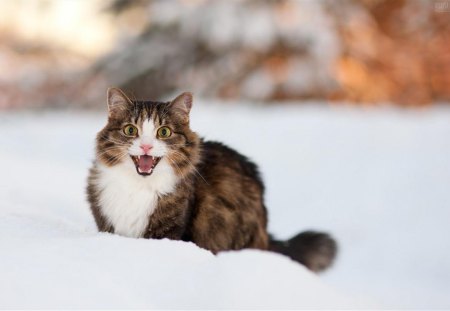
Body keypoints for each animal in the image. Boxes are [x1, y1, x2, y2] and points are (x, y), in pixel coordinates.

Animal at [87, 88, 338, 272]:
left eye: (164, 132)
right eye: (130, 130)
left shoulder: (170, 232)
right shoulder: (107, 225)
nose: (146, 146)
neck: (137, 187)